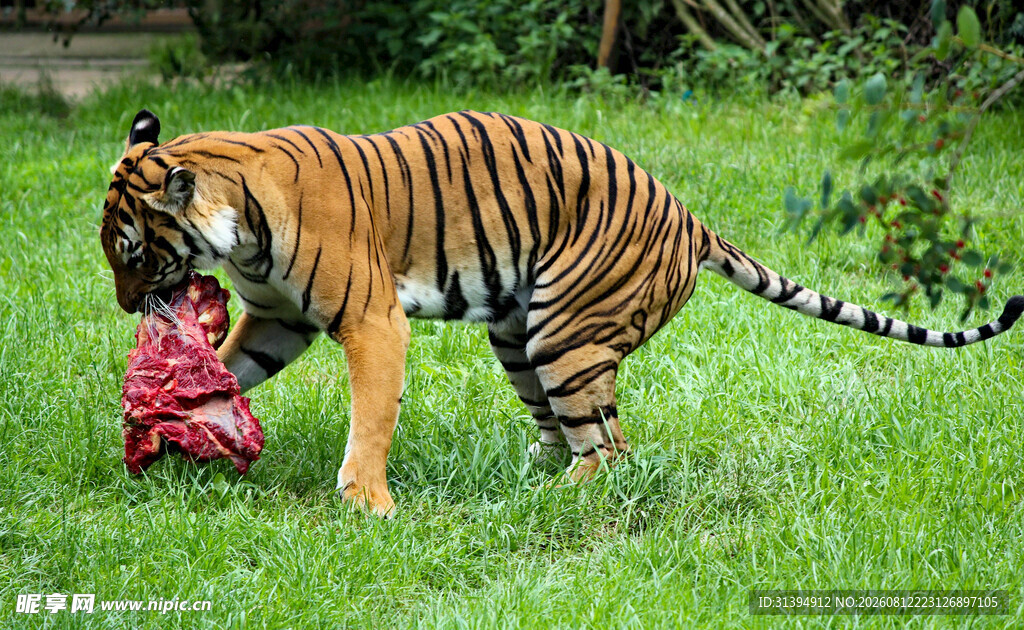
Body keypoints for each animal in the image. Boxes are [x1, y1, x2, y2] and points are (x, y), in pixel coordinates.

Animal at [101, 108, 1024, 516]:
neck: (238, 224)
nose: (124, 306)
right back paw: (522, 475)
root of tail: (692, 218)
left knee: (610, 450)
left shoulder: (372, 321)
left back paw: (549, 498)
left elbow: (371, 418)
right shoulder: (279, 318)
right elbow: (232, 377)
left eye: (132, 253)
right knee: (568, 433)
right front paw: (169, 422)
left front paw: (366, 501)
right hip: (516, 333)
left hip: (564, 332)